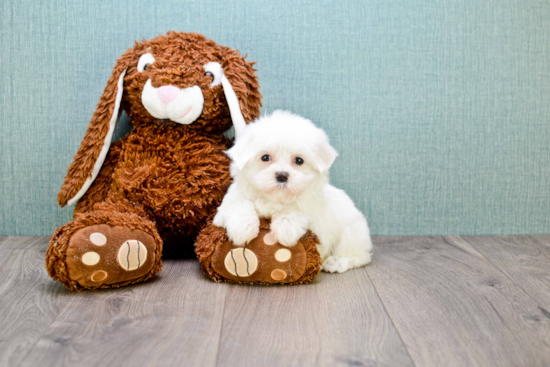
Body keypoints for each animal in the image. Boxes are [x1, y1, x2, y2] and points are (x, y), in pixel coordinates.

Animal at [213, 109, 374, 274]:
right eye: (265, 157)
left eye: (299, 160)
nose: (282, 175)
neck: (274, 198)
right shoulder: (229, 203)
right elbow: (239, 204)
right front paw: (243, 228)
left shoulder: (311, 204)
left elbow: (296, 209)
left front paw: (285, 228)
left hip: (352, 232)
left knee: (358, 255)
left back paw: (336, 262)